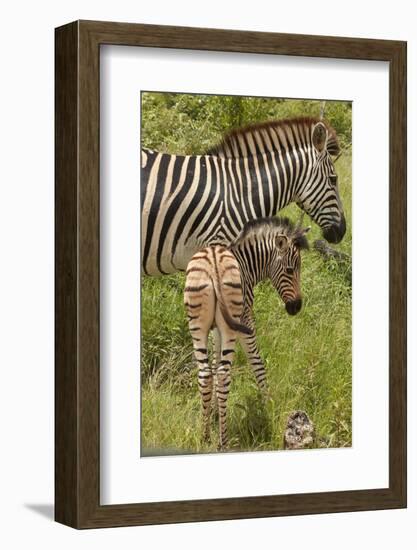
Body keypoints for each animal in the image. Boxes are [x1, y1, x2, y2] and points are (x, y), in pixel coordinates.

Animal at [183, 218, 308, 450]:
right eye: (289, 270)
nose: (296, 307)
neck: (247, 265)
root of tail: (214, 265)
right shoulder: (246, 318)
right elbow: (257, 362)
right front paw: (268, 404)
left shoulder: (215, 328)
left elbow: (215, 363)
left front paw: (215, 412)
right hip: (232, 324)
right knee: (224, 373)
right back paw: (223, 441)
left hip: (197, 324)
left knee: (205, 373)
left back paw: (204, 437)